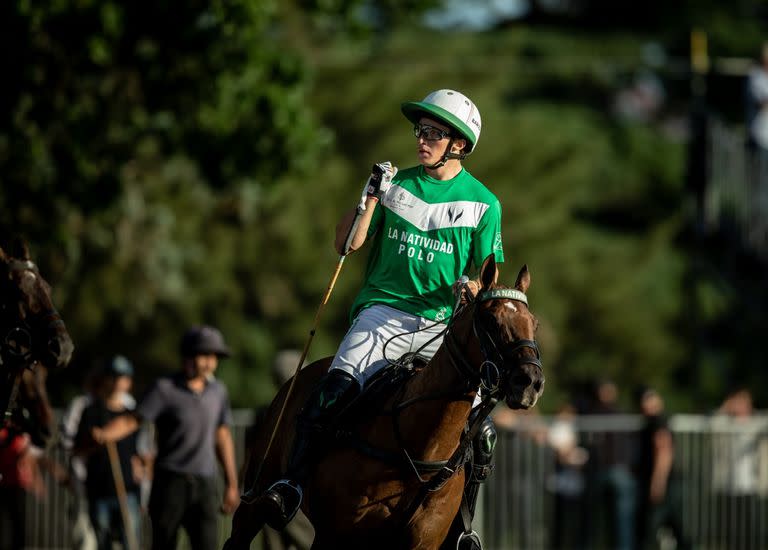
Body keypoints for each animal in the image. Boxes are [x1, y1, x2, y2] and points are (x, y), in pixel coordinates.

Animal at [224, 258, 544, 550]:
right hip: (257, 492)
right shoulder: (336, 534)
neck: (418, 449)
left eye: (534, 324)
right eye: (491, 320)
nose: (530, 382)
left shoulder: (421, 542)